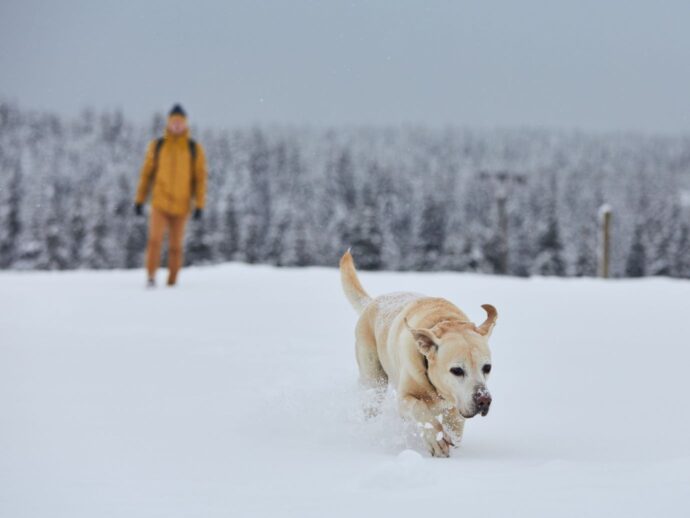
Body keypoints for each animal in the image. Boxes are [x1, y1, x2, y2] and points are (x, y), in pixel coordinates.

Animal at [338, 252, 494, 460]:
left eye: (487, 368)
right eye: (457, 370)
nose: (484, 400)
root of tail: (373, 301)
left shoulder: (456, 406)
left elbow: (455, 425)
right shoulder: (404, 398)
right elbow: (419, 409)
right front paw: (436, 440)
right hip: (373, 379)